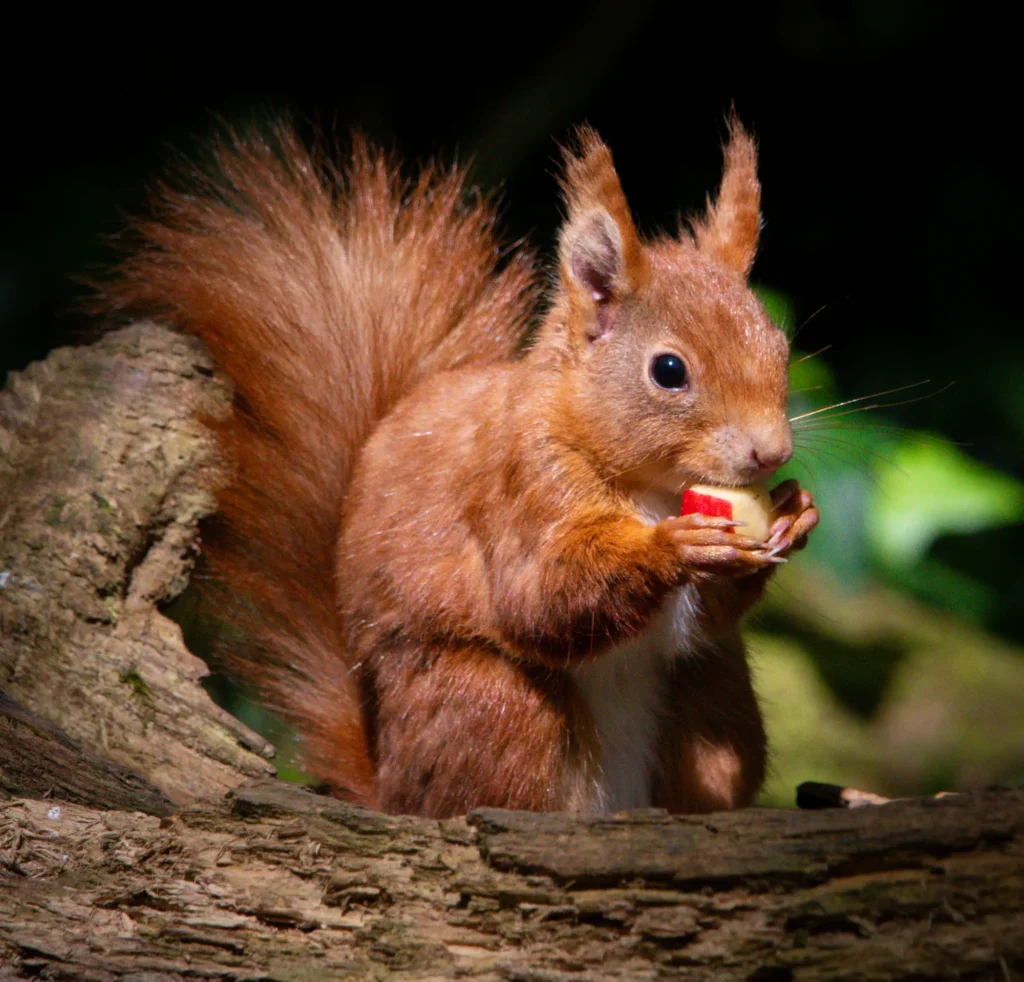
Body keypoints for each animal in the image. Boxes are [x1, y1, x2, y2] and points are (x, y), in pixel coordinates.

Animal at [101, 117, 819, 818]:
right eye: (668, 371)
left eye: (780, 346)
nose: (771, 452)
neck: (652, 487)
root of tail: (390, 787)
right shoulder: (521, 485)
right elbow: (543, 596)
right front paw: (674, 546)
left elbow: (706, 619)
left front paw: (795, 514)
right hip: (491, 705)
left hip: (710, 700)